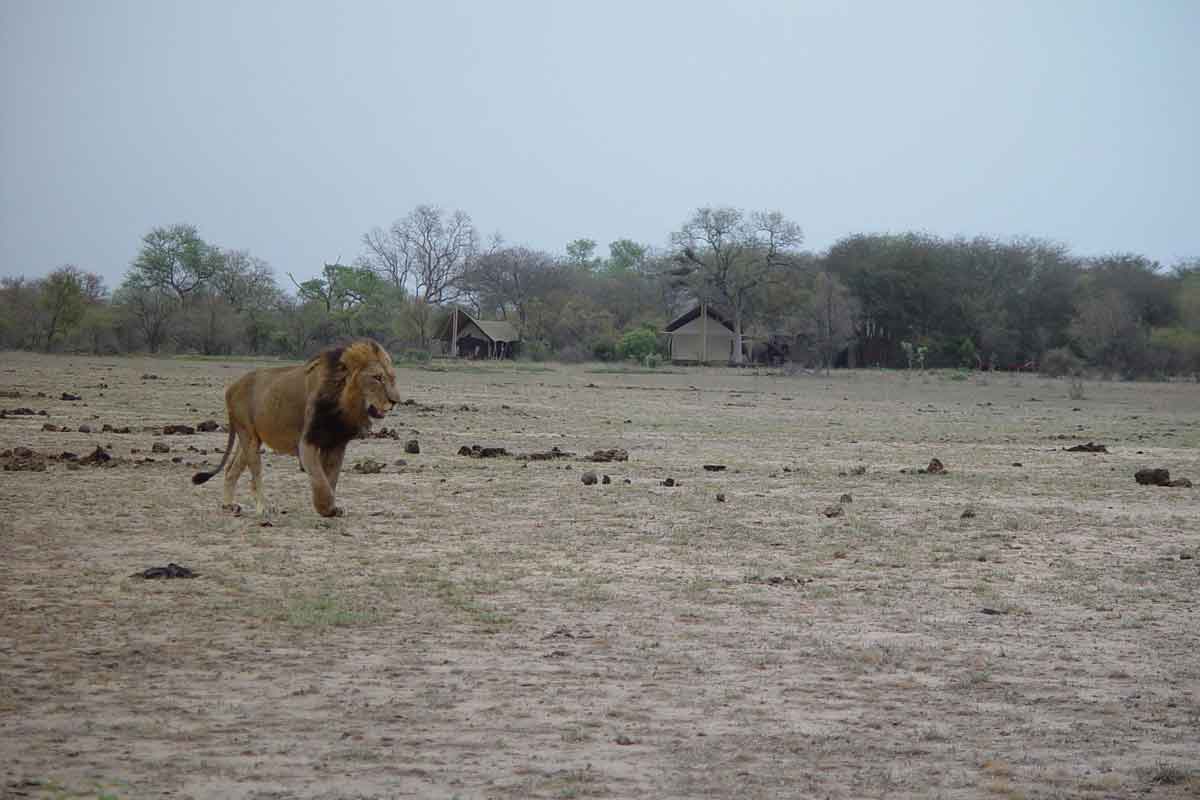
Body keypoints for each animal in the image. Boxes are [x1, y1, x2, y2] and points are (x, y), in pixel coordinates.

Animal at [189, 340, 400, 520]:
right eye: (377, 378)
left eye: (392, 378)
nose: (395, 401)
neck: (344, 405)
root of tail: (231, 386)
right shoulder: (307, 442)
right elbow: (320, 480)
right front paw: (326, 508)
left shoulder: (337, 444)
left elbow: (330, 479)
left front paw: (330, 508)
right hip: (248, 435)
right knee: (255, 475)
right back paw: (263, 508)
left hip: (250, 438)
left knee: (231, 470)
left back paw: (229, 506)